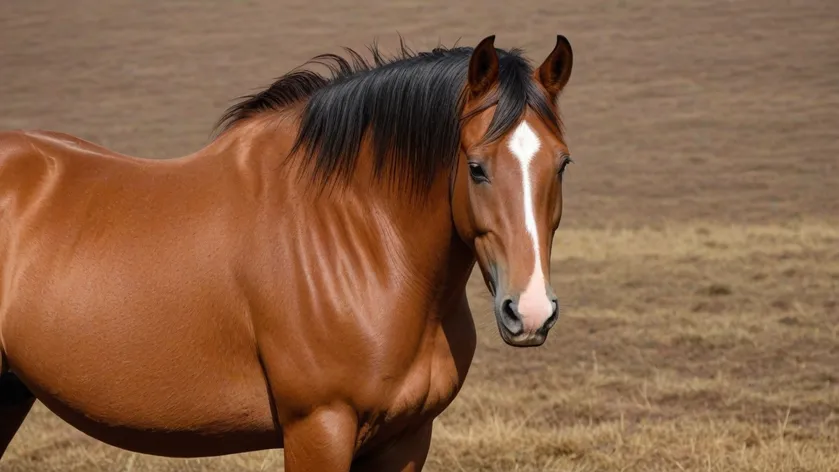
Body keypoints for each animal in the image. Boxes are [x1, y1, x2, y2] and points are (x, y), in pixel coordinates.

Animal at [0, 35, 572, 470]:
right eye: (476, 167)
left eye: (562, 163)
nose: (530, 312)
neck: (357, 240)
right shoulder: (319, 427)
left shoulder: (407, 438)